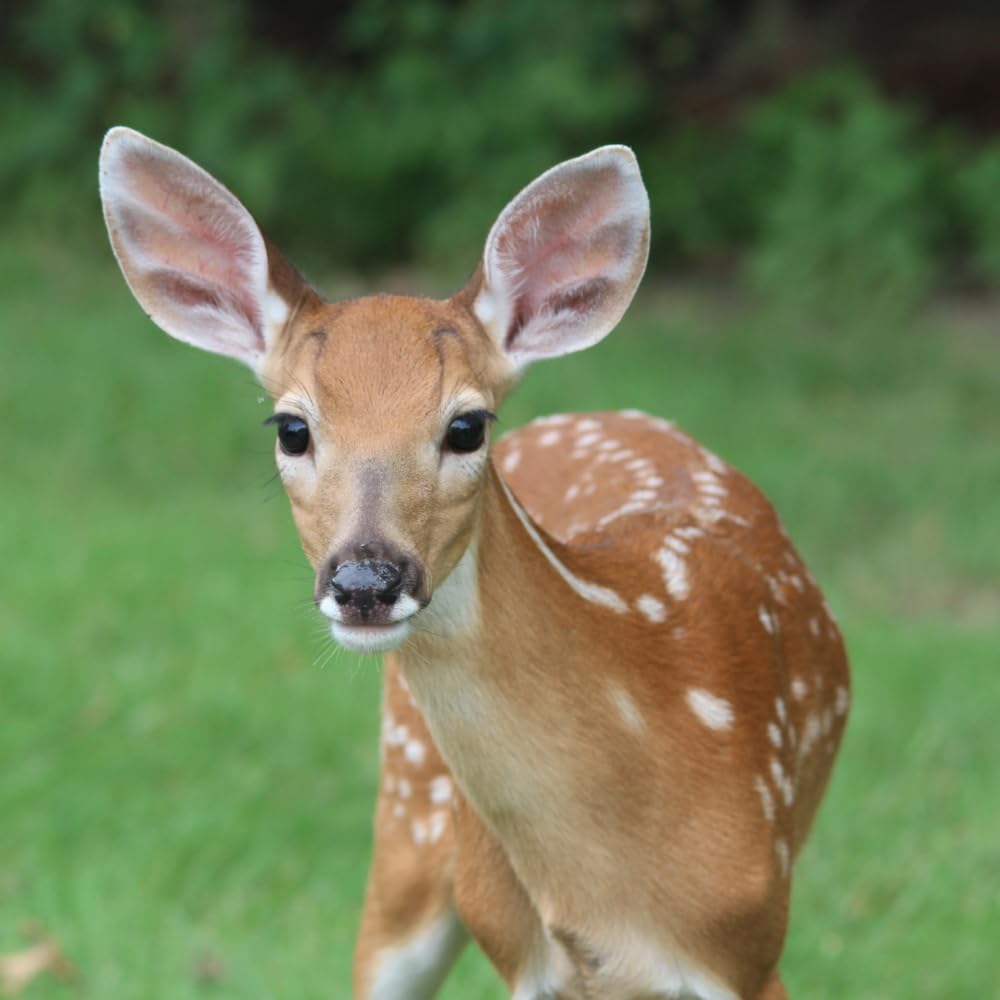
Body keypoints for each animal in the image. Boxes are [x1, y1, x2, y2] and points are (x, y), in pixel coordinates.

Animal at [99, 126, 850, 1000]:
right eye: (291, 428)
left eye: (466, 426)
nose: (365, 581)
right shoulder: (522, 955)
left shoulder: (749, 944)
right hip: (409, 819)